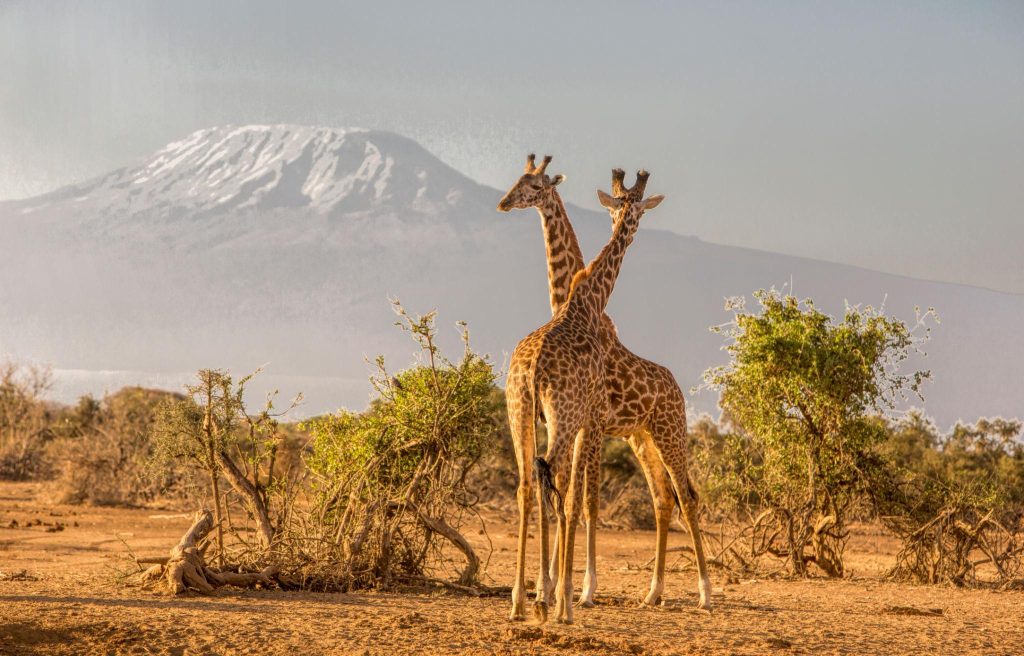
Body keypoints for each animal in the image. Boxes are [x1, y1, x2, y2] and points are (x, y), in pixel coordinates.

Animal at [498, 157, 712, 615]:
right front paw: (568, 590)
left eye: (534, 185)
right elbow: (581, 499)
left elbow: (580, 499)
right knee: (664, 498)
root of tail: (676, 389)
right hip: (638, 436)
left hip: (655, 432)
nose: (504, 202)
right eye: (520, 182)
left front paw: (565, 588)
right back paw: (660, 592)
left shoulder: (588, 421)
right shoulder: (587, 421)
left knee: (680, 496)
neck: (584, 299)